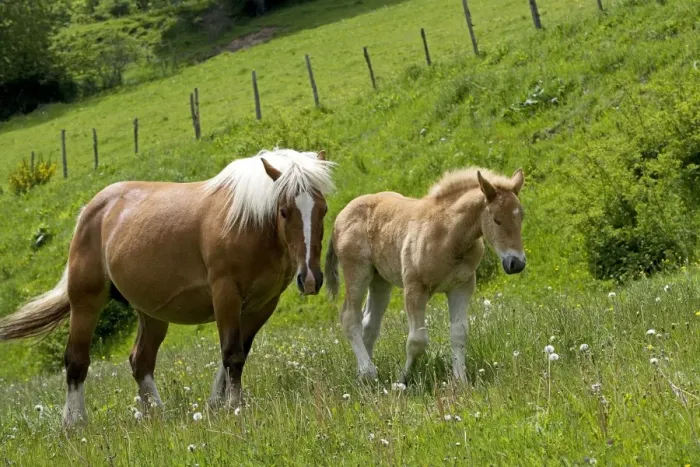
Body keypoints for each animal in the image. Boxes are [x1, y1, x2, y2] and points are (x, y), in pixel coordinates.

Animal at [0, 148, 335, 428]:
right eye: (284, 211)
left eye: (323, 210)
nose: (310, 278)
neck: (249, 222)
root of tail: (90, 210)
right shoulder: (225, 295)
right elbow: (232, 354)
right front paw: (233, 407)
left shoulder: (262, 305)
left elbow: (236, 354)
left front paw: (216, 405)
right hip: (86, 302)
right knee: (76, 361)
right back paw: (74, 422)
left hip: (151, 313)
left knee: (140, 361)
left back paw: (157, 414)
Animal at [324, 167, 525, 383]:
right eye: (497, 220)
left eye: (521, 217)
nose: (517, 263)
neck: (449, 237)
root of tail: (340, 216)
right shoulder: (415, 288)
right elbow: (417, 341)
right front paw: (401, 380)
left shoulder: (461, 286)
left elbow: (459, 333)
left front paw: (461, 381)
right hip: (357, 272)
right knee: (349, 317)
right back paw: (368, 372)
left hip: (380, 280)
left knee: (369, 324)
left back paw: (363, 375)